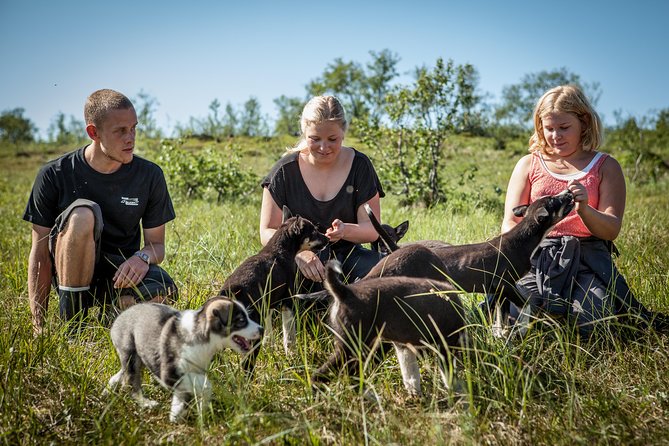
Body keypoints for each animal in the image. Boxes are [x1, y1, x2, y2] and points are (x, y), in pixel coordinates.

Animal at [105, 296, 262, 422]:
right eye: (241, 320)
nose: (261, 329)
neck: (206, 341)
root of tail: (120, 316)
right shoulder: (169, 374)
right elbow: (206, 385)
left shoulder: (193, 373)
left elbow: (182, 396)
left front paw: (176, 415)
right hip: (130, 353)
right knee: (130, 383)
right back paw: (146, 403)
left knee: (121, 375)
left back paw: (109, 388)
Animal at [219, 207, 328, 368]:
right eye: (314, 231)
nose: (328, 239)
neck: (279, 250)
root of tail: (231, 291)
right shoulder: (288, 303)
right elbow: (289, 336)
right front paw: (292, 357)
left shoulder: (269, 304)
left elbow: (270, 333)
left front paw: (270, 348)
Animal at [314, 260, 464, 396]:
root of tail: (345, 291)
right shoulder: (445, 345)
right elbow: (448, 375)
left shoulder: (404, 346)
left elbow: (410, 374)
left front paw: (415, 394)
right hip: (351, 346)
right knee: (322, 374)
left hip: (362, 347)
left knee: (351, 373)